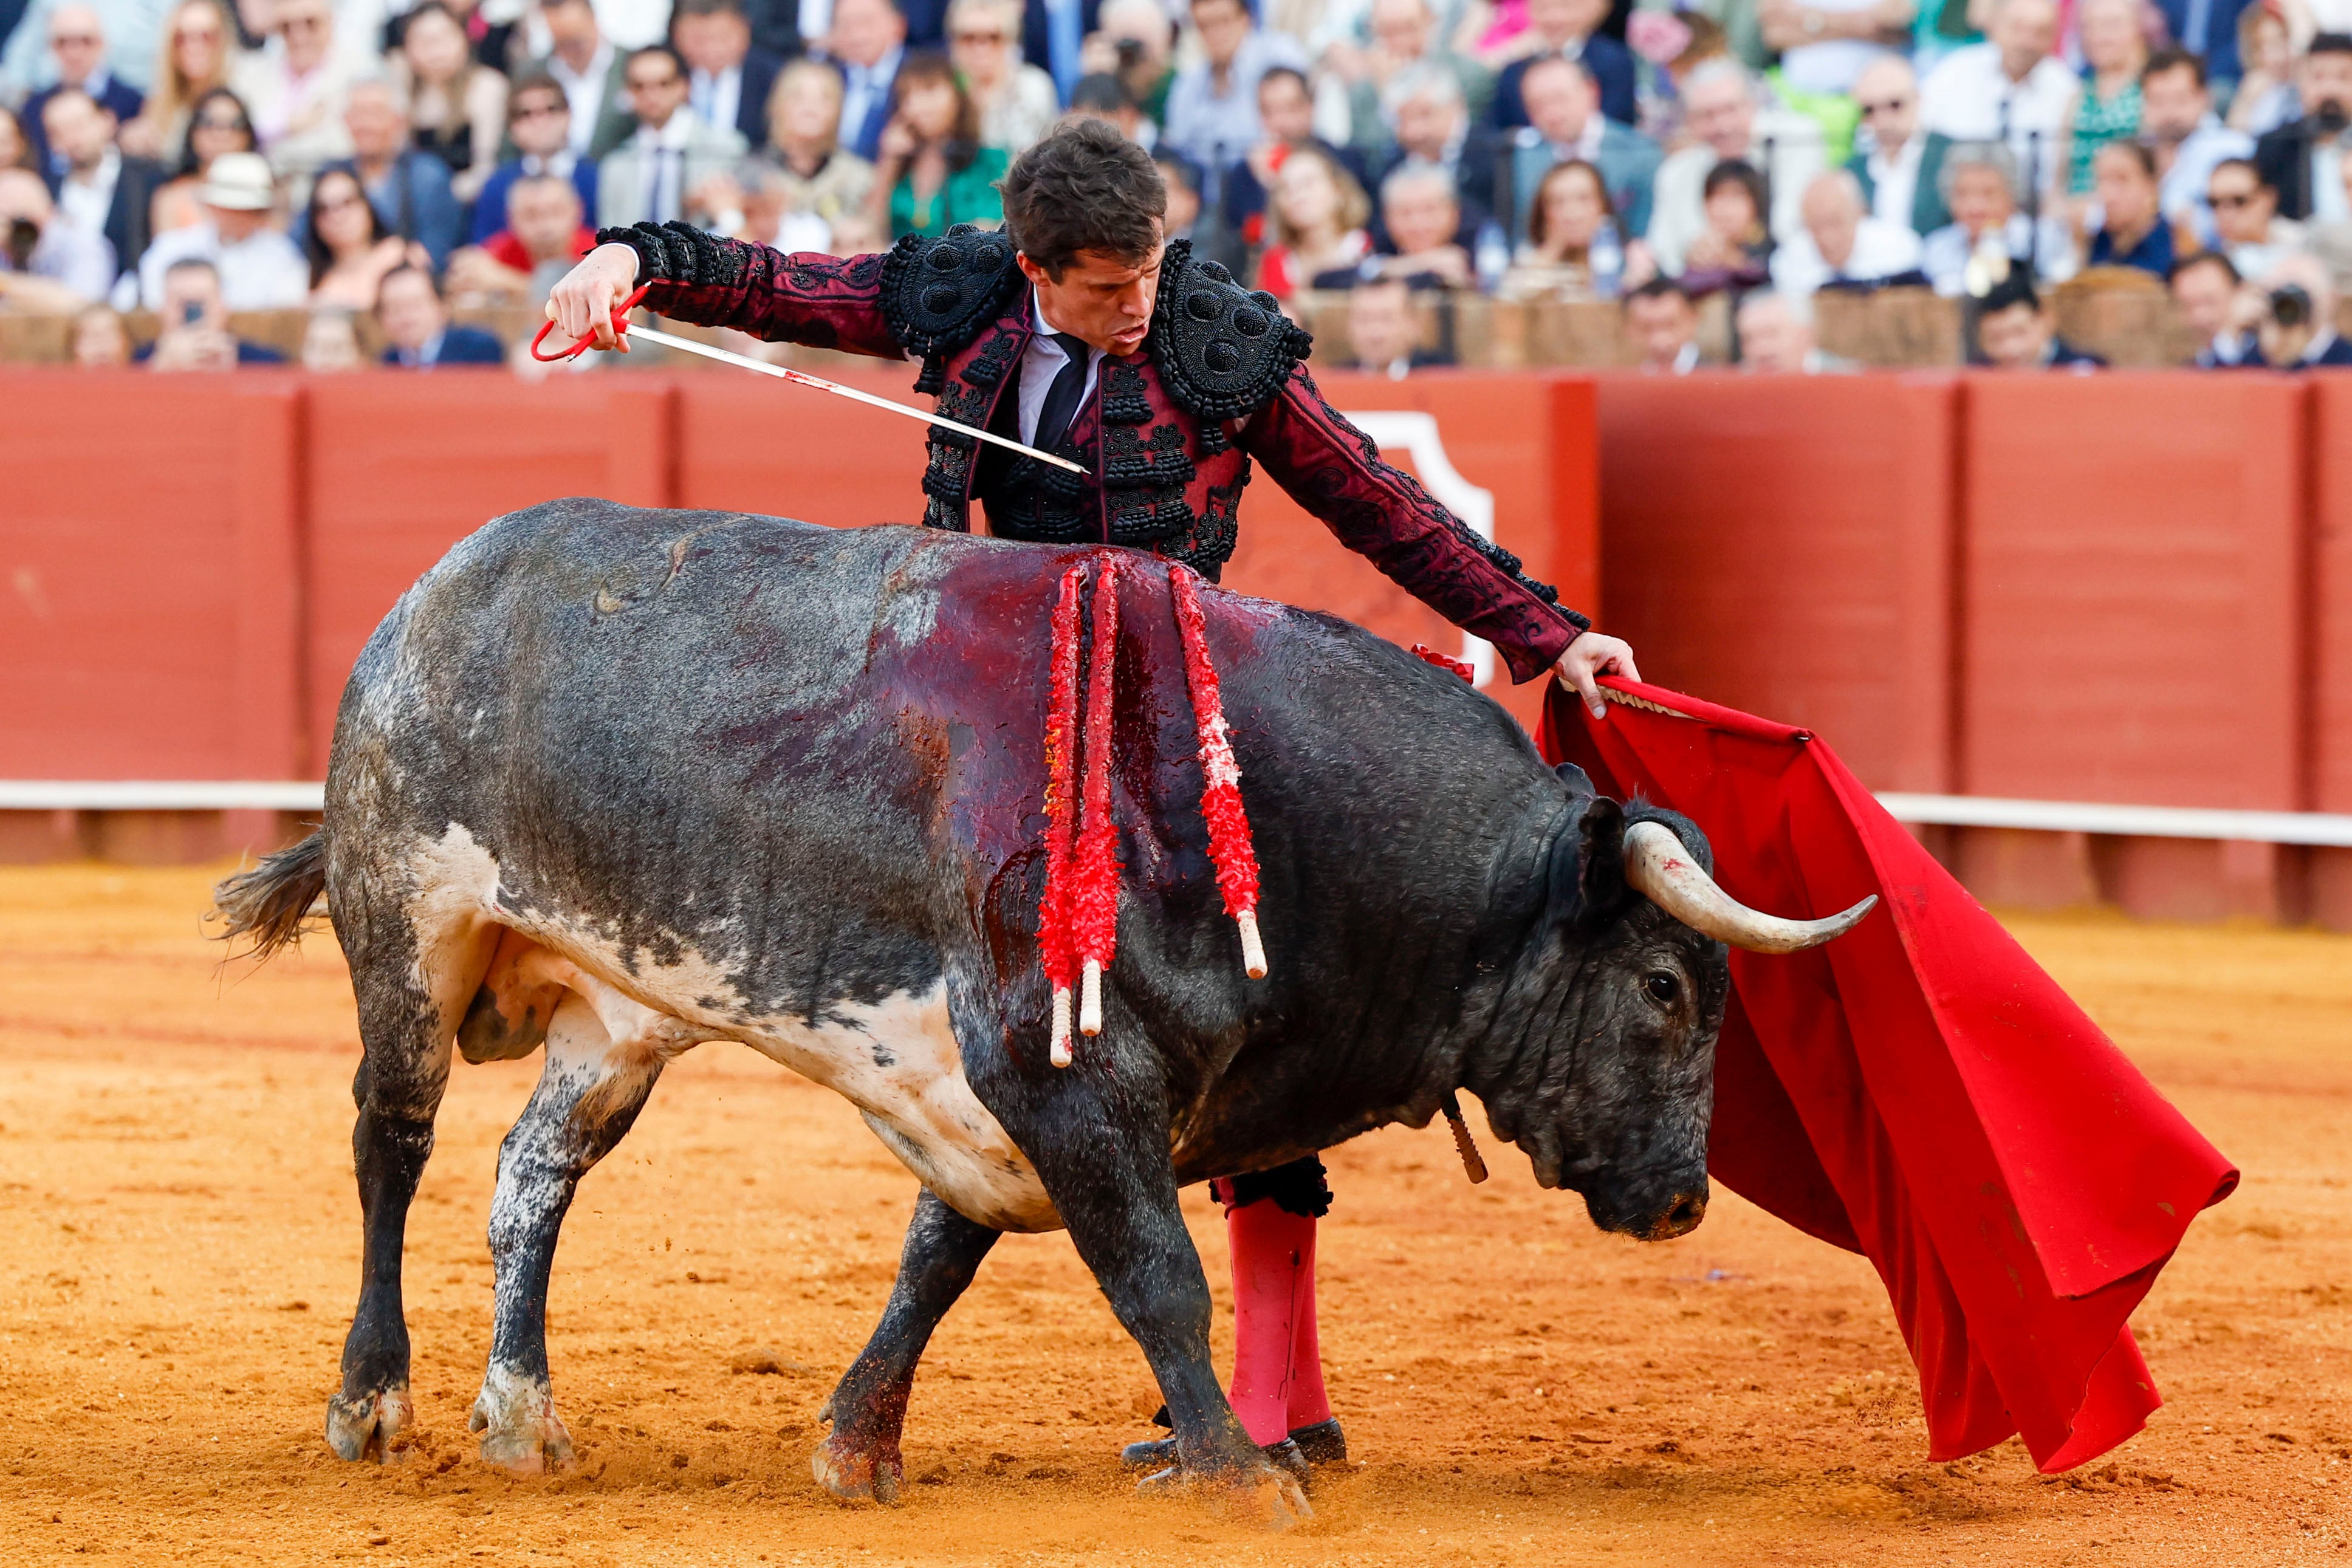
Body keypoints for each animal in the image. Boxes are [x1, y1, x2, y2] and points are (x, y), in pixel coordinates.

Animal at [221, 501, 1872, 1523]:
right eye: (1665, 984)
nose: (1682, 1199)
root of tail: (432, 590)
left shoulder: (999, 1090)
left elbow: (941, 1257)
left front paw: (857, 1444)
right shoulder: (1057, 1068)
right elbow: (1157, 1273)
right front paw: (1242, 1475)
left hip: (616, 1012)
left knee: (530, 1178)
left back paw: (523, 1415)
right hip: (408, 926)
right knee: (392, 1142)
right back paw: (374, 1398)